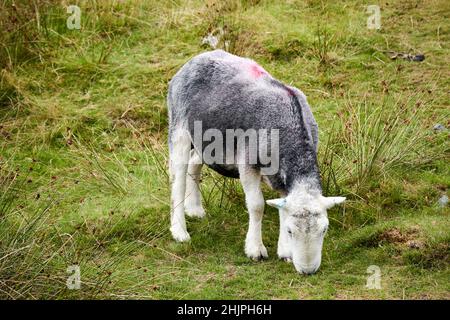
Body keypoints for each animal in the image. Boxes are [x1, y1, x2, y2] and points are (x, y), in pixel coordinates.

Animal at [167, 48, 346, 274]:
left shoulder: (281, 177)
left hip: (209, 142)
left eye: (324, 230)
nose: (308, 271)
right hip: (179, 128)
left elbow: (282, 208)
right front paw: (255, 249)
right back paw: (179, 231)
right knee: (178, 179)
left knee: (194, 163)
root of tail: (198, 58)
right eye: (291, 231)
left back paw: (195, 209)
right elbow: (257, 205)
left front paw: (285, 252)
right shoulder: (247, 163)